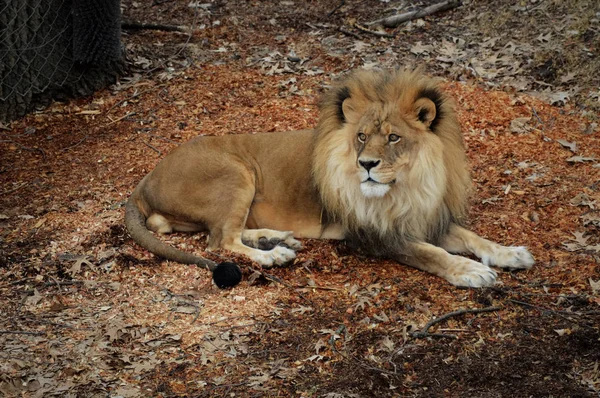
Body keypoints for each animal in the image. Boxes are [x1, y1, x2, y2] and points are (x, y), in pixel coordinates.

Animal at [125, 67, 536, 288]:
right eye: (361, 136)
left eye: (393, 137)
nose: (366, 164)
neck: (409, 185)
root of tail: (144, 181)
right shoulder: (376, 235)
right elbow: (433, 253)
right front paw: (471, 271)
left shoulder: (426, 217)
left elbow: (473, 237)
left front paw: (511, 253)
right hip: (236, 172)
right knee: (219, 240)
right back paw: (273, 255)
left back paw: (277, 237)